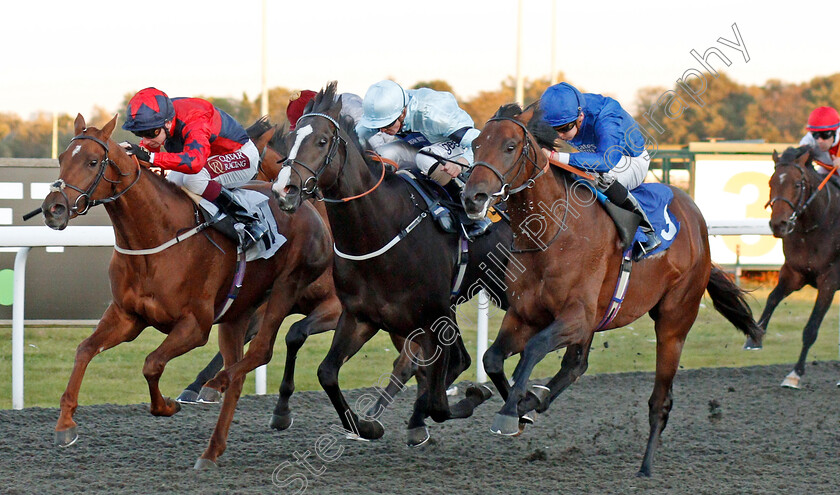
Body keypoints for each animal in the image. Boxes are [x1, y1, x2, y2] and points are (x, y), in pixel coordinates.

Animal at [39, 114, 336, 470]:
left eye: (93, 161)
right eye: (61, 159)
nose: (53, 208)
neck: (155, 237)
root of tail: (309, 209)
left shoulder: (195, 326)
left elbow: (152, 363)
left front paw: (167, 405)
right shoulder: (126, 316)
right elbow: (84, 349)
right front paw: (65, 424)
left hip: (285, 288)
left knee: (262, 350)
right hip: (237, 313)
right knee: (239, 372)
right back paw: (211, 448)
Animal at [272, 83, 508, 448]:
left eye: (322, 141)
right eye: (291, 138)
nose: (284, 189)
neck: (379, 231)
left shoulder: (434, 316)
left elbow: (439, 399)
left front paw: (473, 396)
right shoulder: (361, 316)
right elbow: (327, 373)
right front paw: (365, 427)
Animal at [460, 103, 760, 476]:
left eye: (510, 147)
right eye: (475, 145)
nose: (472, 198)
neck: (551, 234)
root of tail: (699, 224)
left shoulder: (576, 316)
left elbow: (533, 348)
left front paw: (509, 411)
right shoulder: (525, 314)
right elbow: (493, 358)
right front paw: (520, 409)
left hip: (674, 321)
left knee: (660, 398)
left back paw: (646, 466)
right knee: (575, 366)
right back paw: (535, 400)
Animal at [748, 145, 840, 390]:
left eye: (797, 185)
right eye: (771, 182)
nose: (778, 224)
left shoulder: (830, 280)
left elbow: (811, 328)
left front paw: (795, 374)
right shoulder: (794, 273)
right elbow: (772, 298)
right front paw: (754, 338)